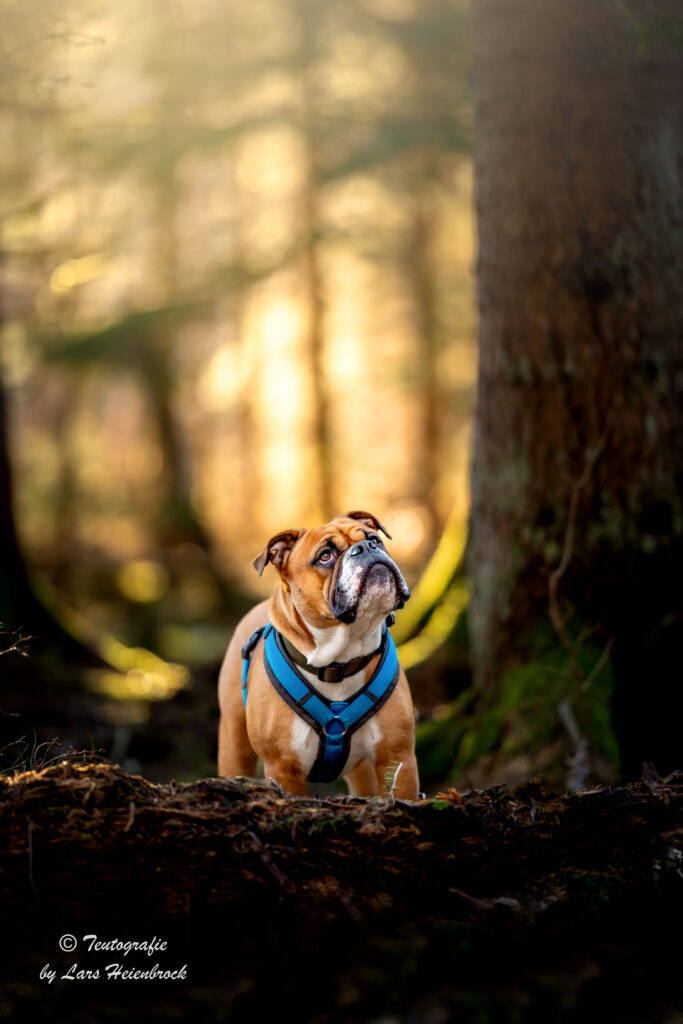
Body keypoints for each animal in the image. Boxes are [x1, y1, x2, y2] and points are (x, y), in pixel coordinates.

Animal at [219, 512, 419, 798]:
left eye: (374, 540)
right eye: (325, 556)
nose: (366, 548)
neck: (339, 661)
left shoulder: (397, 757)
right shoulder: (283, 768)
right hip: (234, 742)